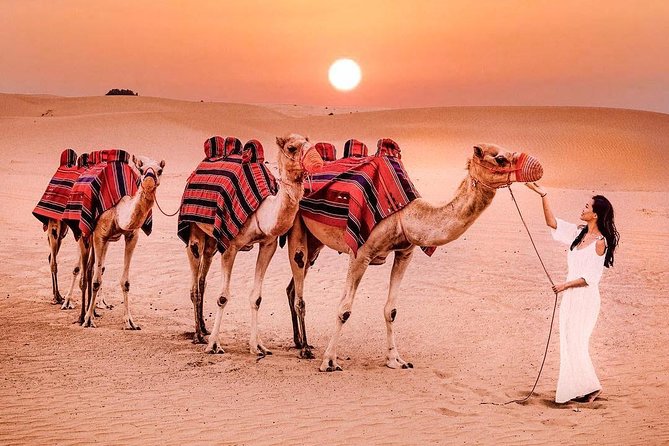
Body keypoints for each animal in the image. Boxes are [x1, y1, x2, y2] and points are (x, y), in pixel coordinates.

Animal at [78, 155, 165, 329]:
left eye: (160, 170)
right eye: (141, 170)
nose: (148, 181)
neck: (118, 211)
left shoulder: (131, 236)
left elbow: (125, 282)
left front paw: (130, 322)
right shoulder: (100, 235)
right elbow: (96, 281)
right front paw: (88, 320)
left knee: (92, 267)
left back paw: (95, 311)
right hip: (84, 233)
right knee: (85, 271)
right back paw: (81, 315)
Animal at [187, 134, 318, 356]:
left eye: (311, 143)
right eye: (292, 148)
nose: (317, 161)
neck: (262, 210)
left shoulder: (268, 244)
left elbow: (256, 298)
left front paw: (258, 346)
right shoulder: (230, 246)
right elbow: (223, 297)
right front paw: (214, 345)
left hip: (212, 240)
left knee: (203, 278)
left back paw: (203, 328)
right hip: (194, 230)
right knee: (195, 285)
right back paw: (198, 335)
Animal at [285, 143, 544, 371]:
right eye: (499, 158)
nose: (538, 167)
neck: (404, 216)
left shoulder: (405, 252)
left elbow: (391, 310)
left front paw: (396, 360)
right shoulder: (361, 253)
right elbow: (344, 309)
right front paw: (329, 362)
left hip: (316, 241)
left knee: (292, 287)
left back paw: (299, 342)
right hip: (297, 225)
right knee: (299, 286)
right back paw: (305, 349)